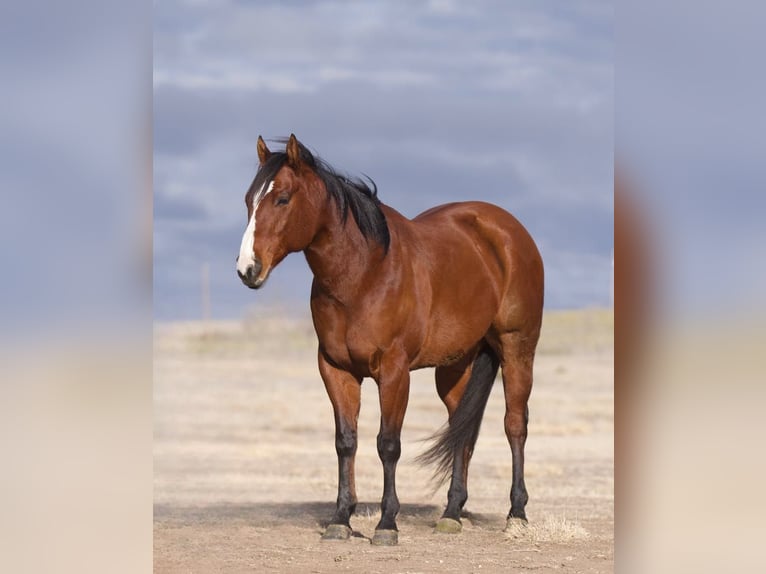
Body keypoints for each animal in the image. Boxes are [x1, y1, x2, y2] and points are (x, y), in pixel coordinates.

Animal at [236, 135, 544, 546]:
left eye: (282, 198)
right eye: (248, 200)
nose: (247, 269)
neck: (364, 274)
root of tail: (508, 230)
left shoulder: (395, 372)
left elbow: (388, 444)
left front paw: (386, 523)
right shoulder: (335, 370)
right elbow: (345, 441)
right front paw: (340, 519)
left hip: (517, 349)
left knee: (515, 424)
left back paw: (517, 514)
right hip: (455, 367)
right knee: (461, 427)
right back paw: (451, 513)